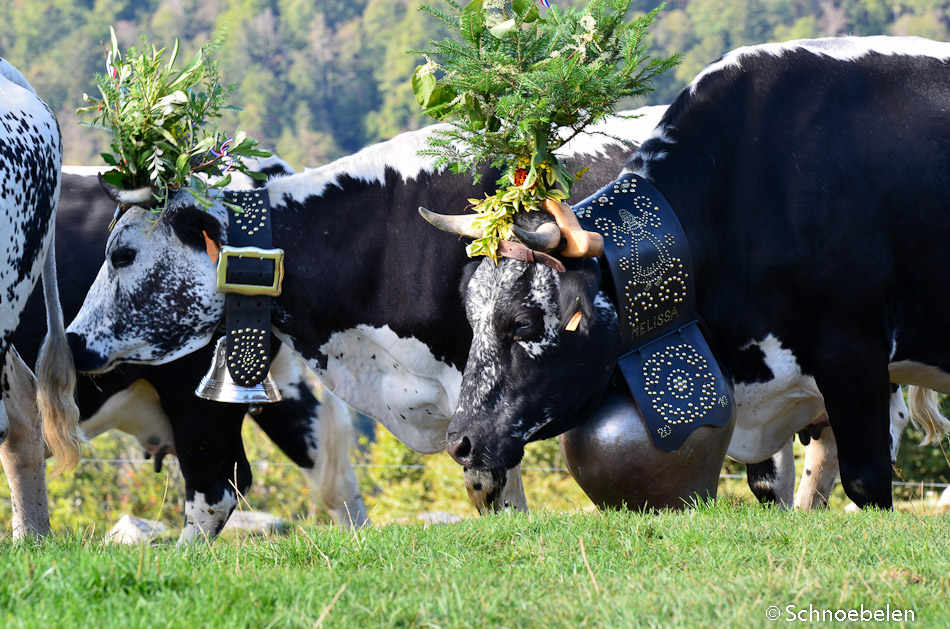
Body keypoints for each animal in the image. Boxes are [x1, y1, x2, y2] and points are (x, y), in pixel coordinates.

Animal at [428, 35, 950, 510]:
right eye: (470, 319)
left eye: (522, 324)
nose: (460, 443)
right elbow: (770, 485)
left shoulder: (853, 351)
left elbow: (866, 482)